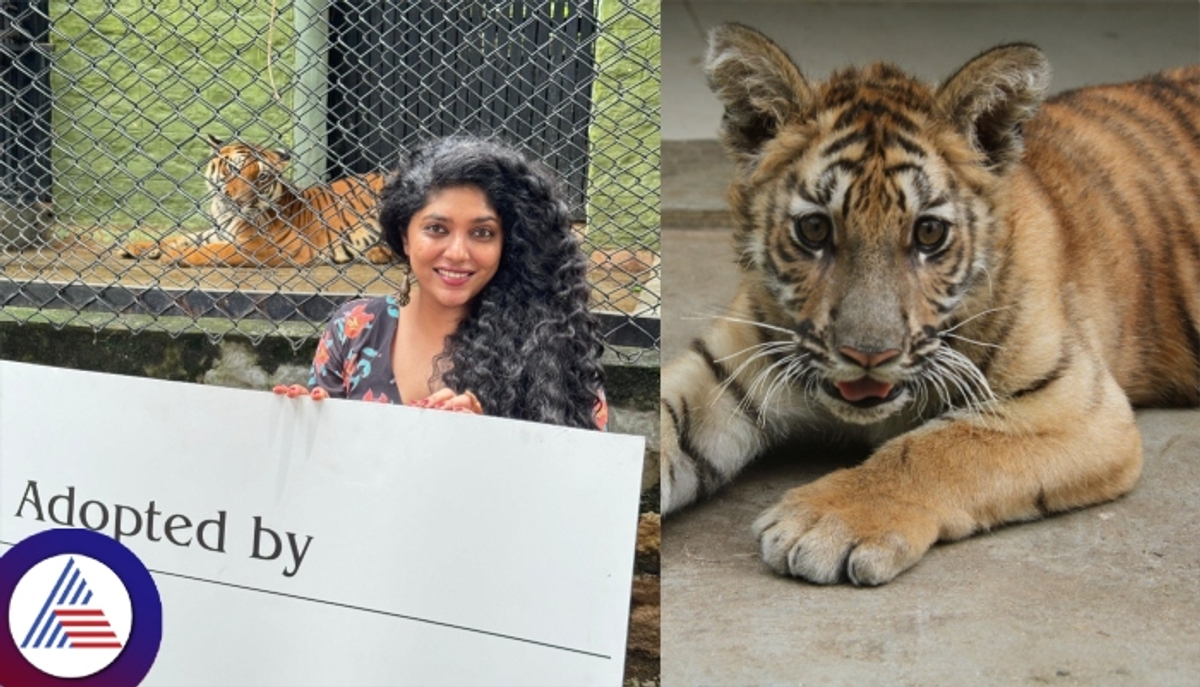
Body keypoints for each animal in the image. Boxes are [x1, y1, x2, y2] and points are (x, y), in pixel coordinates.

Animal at [117, 135, 391, 267]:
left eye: (261, 177)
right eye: (233, 169)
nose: (239, 201)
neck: (225, 213)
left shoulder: (268, 247)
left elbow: (214, 251)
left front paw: (174, 255)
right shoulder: (220, 231)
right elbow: (179, 237)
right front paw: (134, 246)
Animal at [662, 24, 1200, 588]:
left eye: (928, 233)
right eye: (813, 229)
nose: (869, 355)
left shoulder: (1073, 405)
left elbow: (936, 447)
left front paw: (822, 524)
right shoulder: (722, 368)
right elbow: (665, 426)